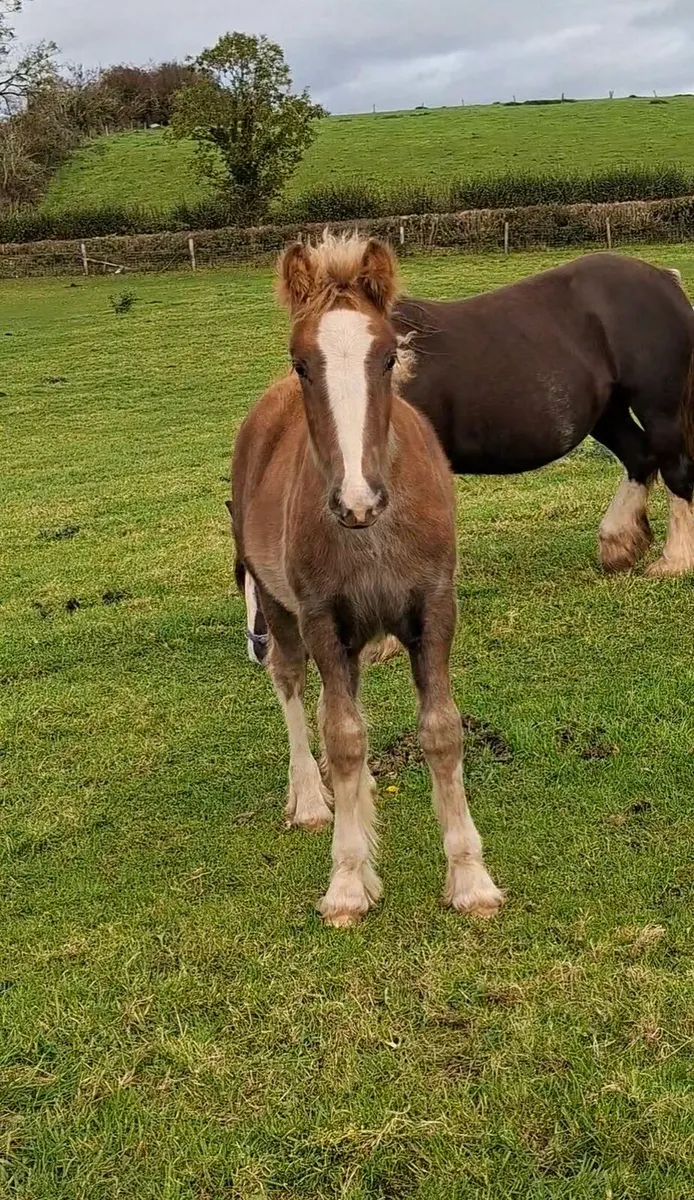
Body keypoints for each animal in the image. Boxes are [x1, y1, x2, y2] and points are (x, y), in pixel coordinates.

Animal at [230, 233, 503, 927]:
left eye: (388, 357)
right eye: (302, 362)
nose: (358, 501)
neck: (372, 532)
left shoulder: (434, 610)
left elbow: (441, 730)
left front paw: (471, 879)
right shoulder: (323, 620)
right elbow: (344, 735)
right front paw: (349, 880)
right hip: (277, 606)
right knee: (295, 686)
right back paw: (310, 797)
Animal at [394, 252, 694, 578]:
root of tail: (664, 277)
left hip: (658, 409)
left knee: (675, 469)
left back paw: (674, 561)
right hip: (608, 413)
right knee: (639, 457)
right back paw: (619, 544)